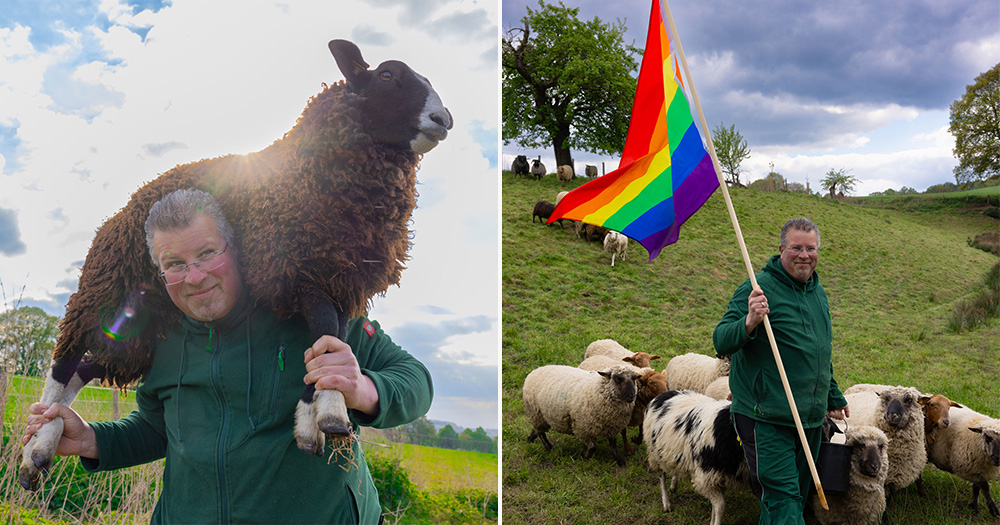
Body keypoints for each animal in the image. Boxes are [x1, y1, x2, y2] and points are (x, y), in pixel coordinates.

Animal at [644, 388, 748, 524]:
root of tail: (664, 393)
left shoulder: (718, 477)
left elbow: (715, 506)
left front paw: (711, 521)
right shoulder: (706, 475)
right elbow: (720, 506)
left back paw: (673, 485)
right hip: (655, 454)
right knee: (661, 477)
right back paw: (666, 503)